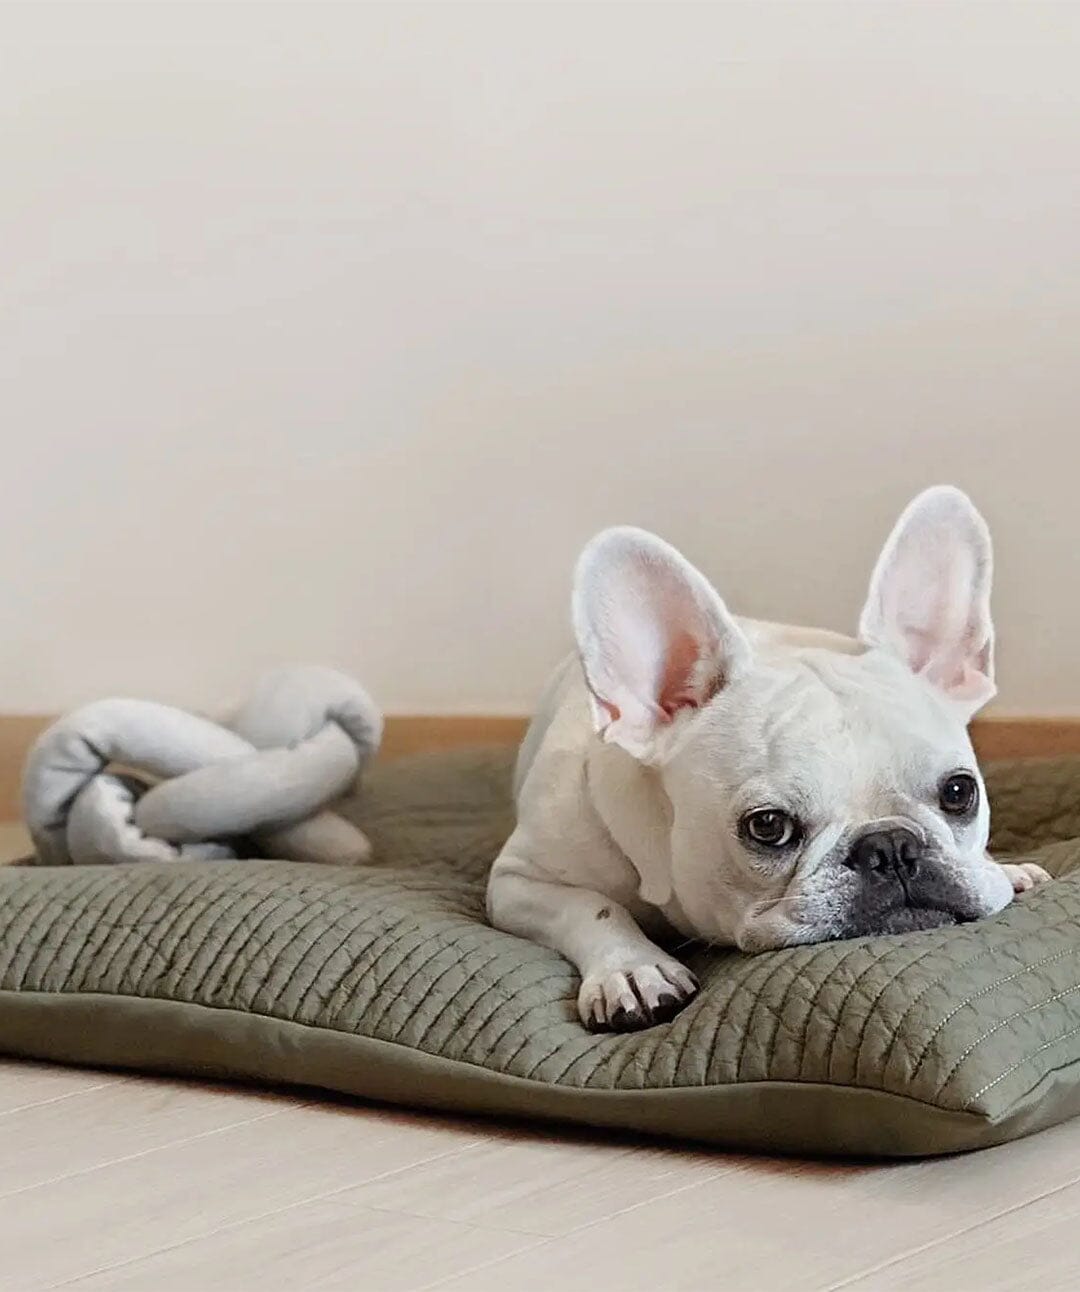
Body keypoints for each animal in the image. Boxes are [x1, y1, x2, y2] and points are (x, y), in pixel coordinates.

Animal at [488, 488, 1043, 1033]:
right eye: (768, 827)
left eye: (960, 791)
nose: (890, 846)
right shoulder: (515, 881)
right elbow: (590, 906)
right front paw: (633, 968)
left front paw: (1005, 868)